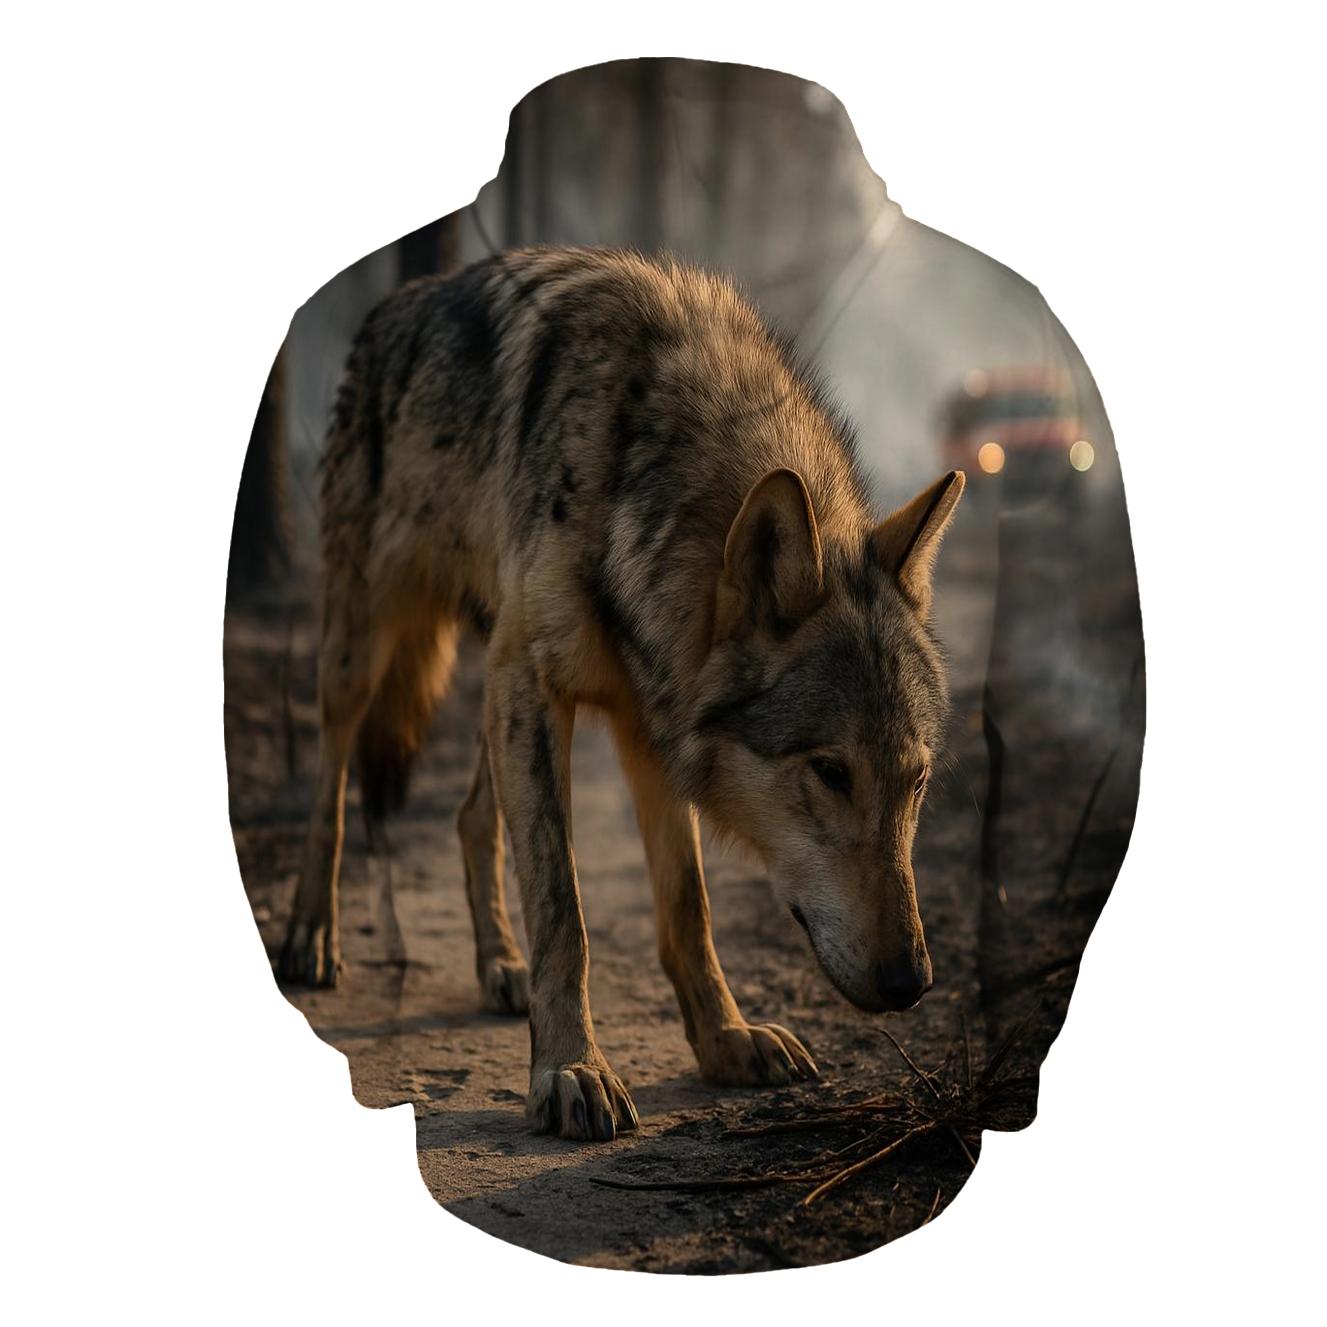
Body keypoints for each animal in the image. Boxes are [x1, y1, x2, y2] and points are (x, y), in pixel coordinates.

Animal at [277, 246, 965, 1142]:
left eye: (916, 781)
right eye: (830, 772)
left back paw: (501, 964)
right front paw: (571, 1069)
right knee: (332, 782)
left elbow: (686, 909)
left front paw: (726, 1039)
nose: (911, 982)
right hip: (371, 645)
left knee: (470, 815)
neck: (636, 471)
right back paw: (311, 933)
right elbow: (564, 909)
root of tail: (397, 301)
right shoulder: (540, 685)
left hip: (494, 674)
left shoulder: (646, 724)